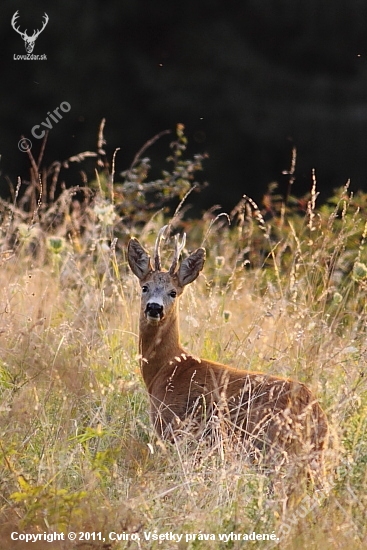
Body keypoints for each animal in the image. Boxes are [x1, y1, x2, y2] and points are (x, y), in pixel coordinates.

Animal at [128, 229, 330, 474]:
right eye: (144, 287)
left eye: (173, 292)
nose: (155, 307)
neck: (167, 367)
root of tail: (318, 417)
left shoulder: (173, 424)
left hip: (269, 444)